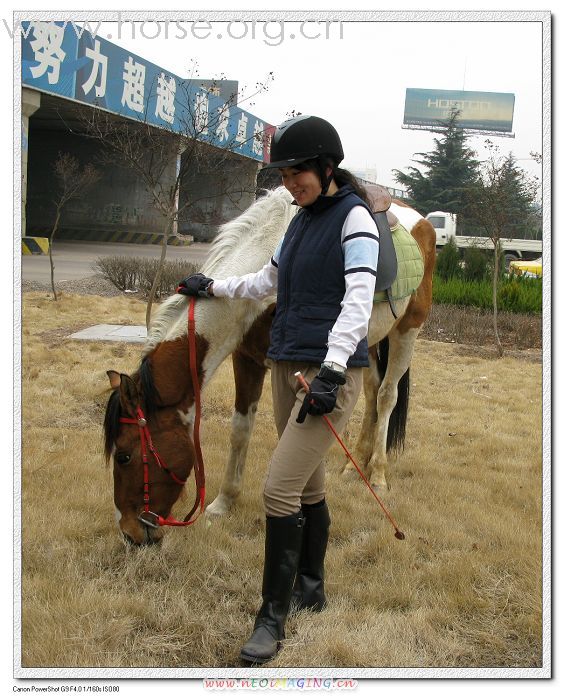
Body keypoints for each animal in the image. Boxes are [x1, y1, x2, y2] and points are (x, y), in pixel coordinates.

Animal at [101, 187, 436, 548]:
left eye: (124, 456)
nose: (131, 534)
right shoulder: (246, 360)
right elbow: (240, 429)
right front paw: (224, 502)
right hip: (369, 342)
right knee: (373, 393)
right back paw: (352, 465)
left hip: (407, 331)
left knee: (387, 396)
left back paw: (377, 474)